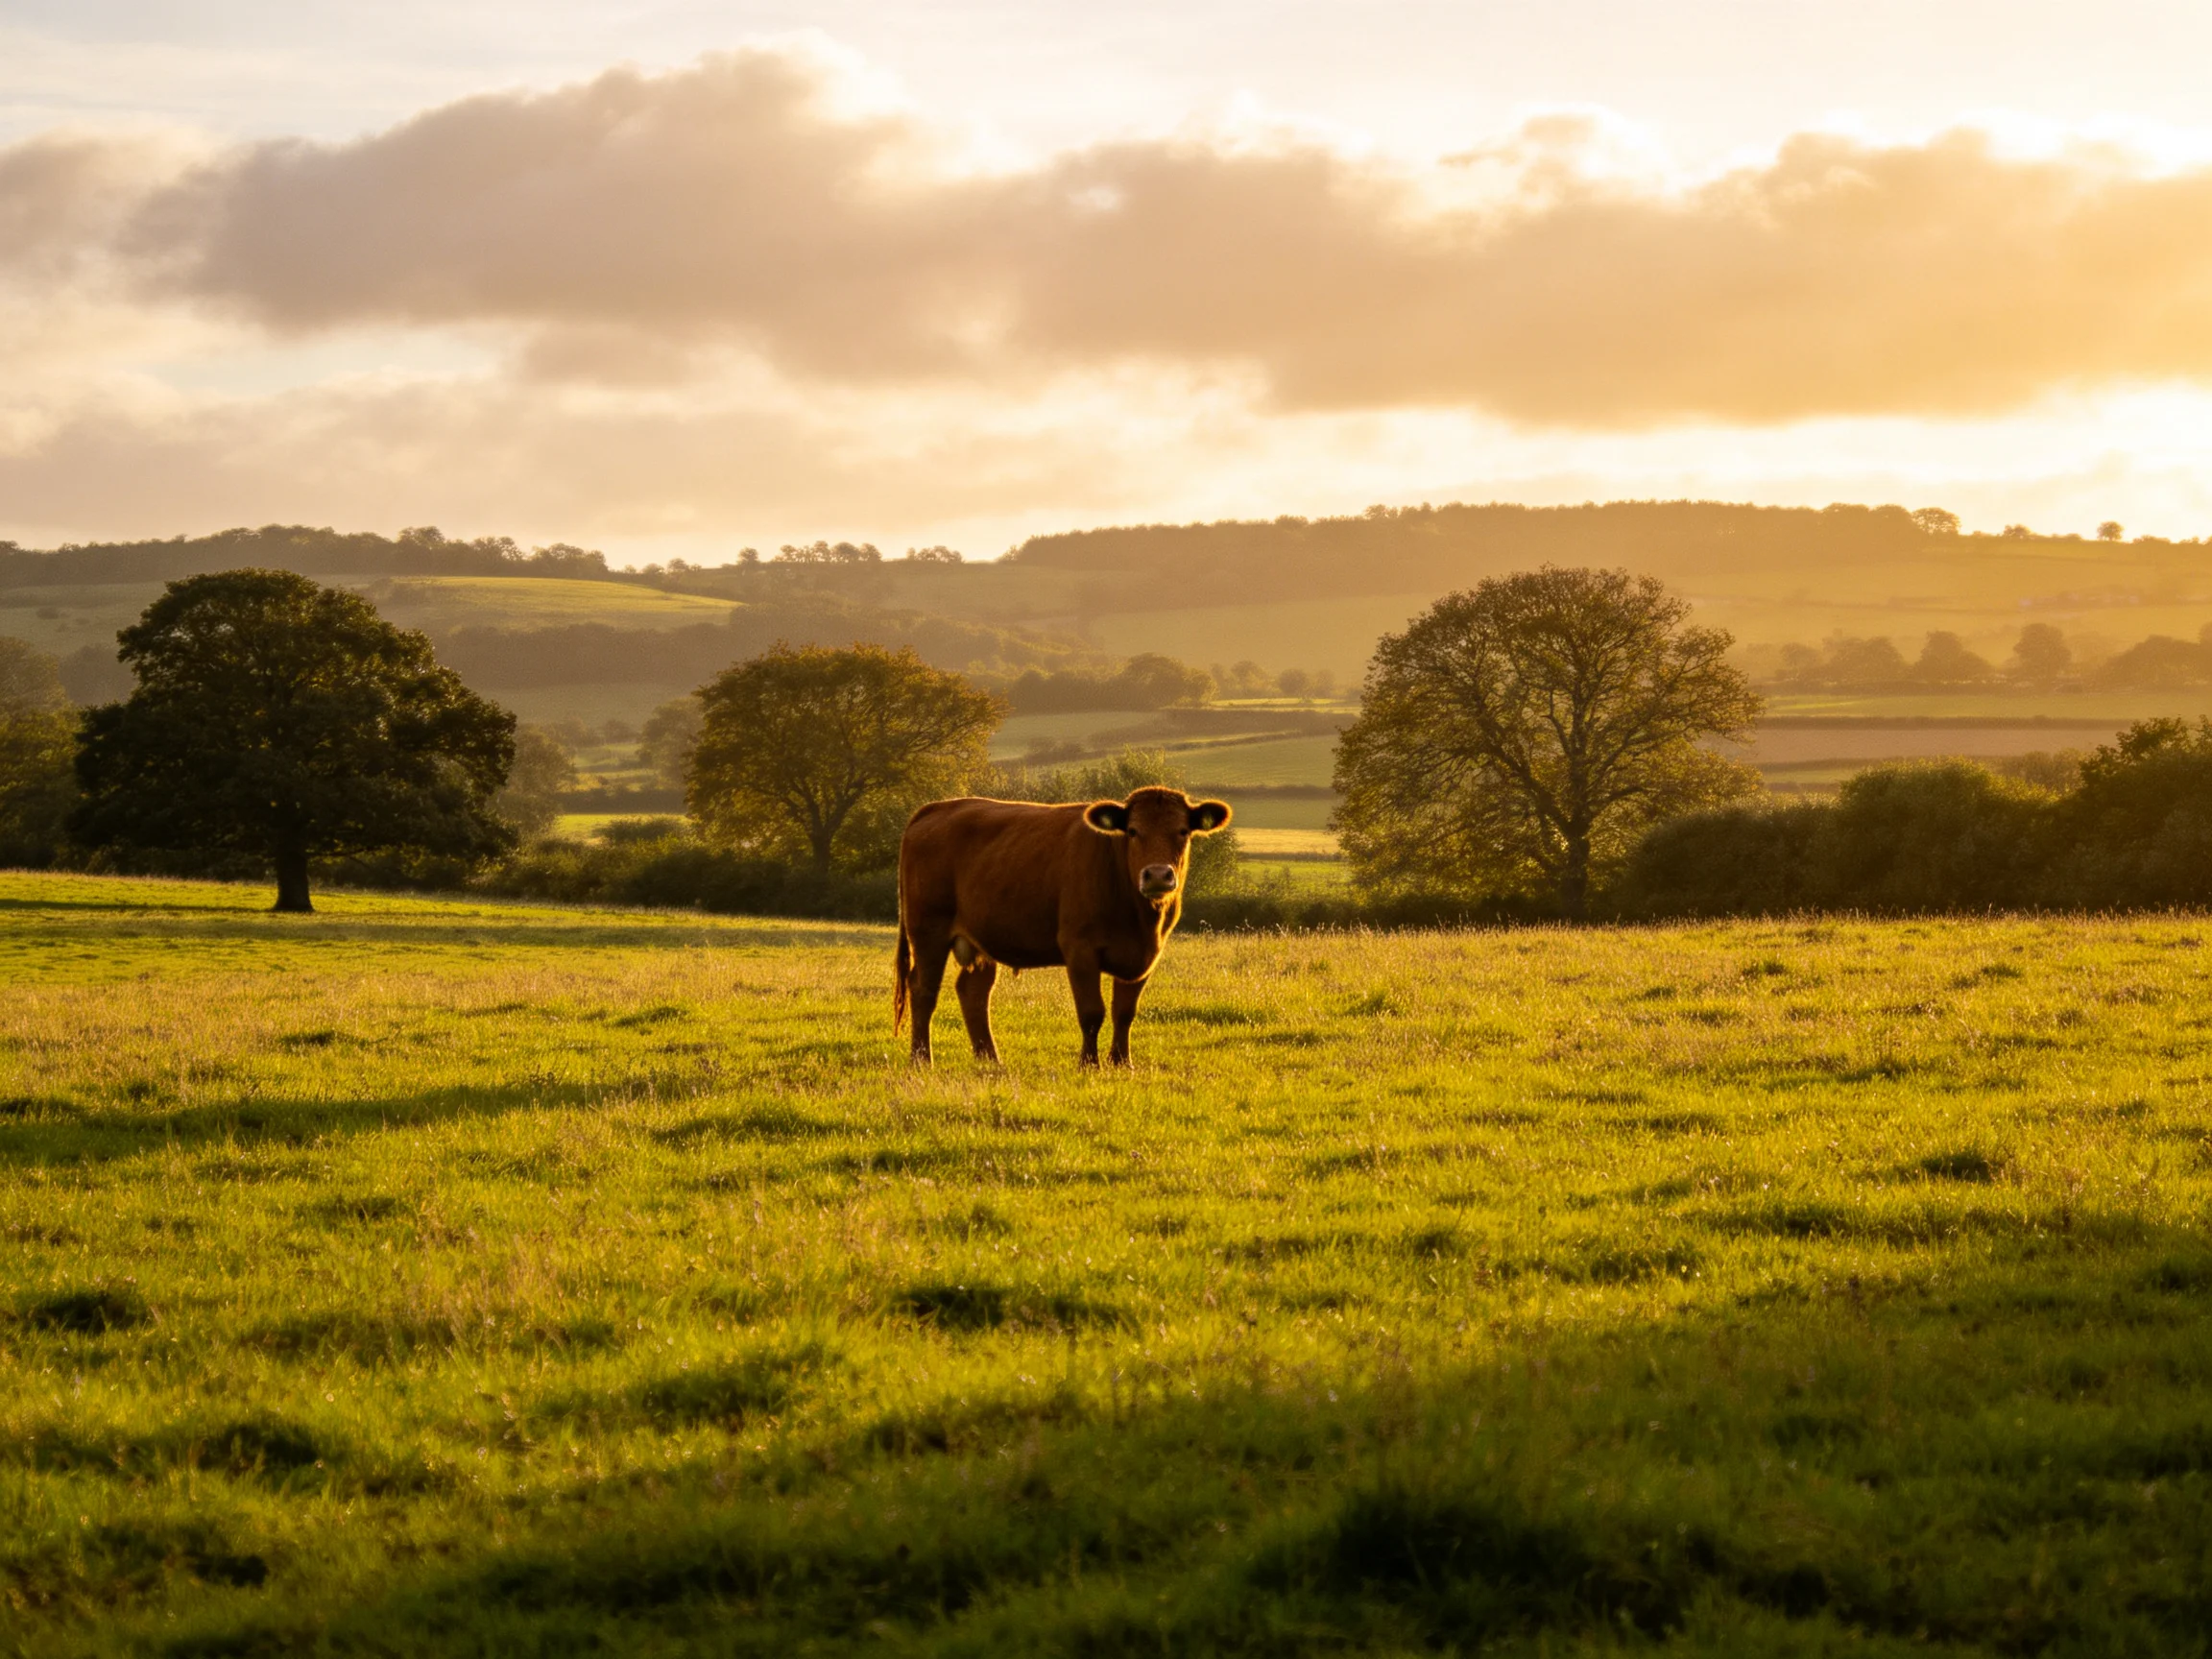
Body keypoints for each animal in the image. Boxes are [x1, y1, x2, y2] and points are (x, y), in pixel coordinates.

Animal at [893, 786, 1233, 1066]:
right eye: (1133, 831)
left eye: (1183, 831)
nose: (1158, 875)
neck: (1140, 917)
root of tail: (938, 807)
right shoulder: (1080, 948)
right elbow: (1092, 1011)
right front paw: (1089, 1064)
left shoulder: (1146, 955)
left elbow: (1125, 1012)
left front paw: (1122, 1063)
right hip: (928, 932)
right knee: (923, 989)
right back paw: (921, 1059)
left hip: (980, 938)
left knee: (973, 992)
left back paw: (990, 1060)